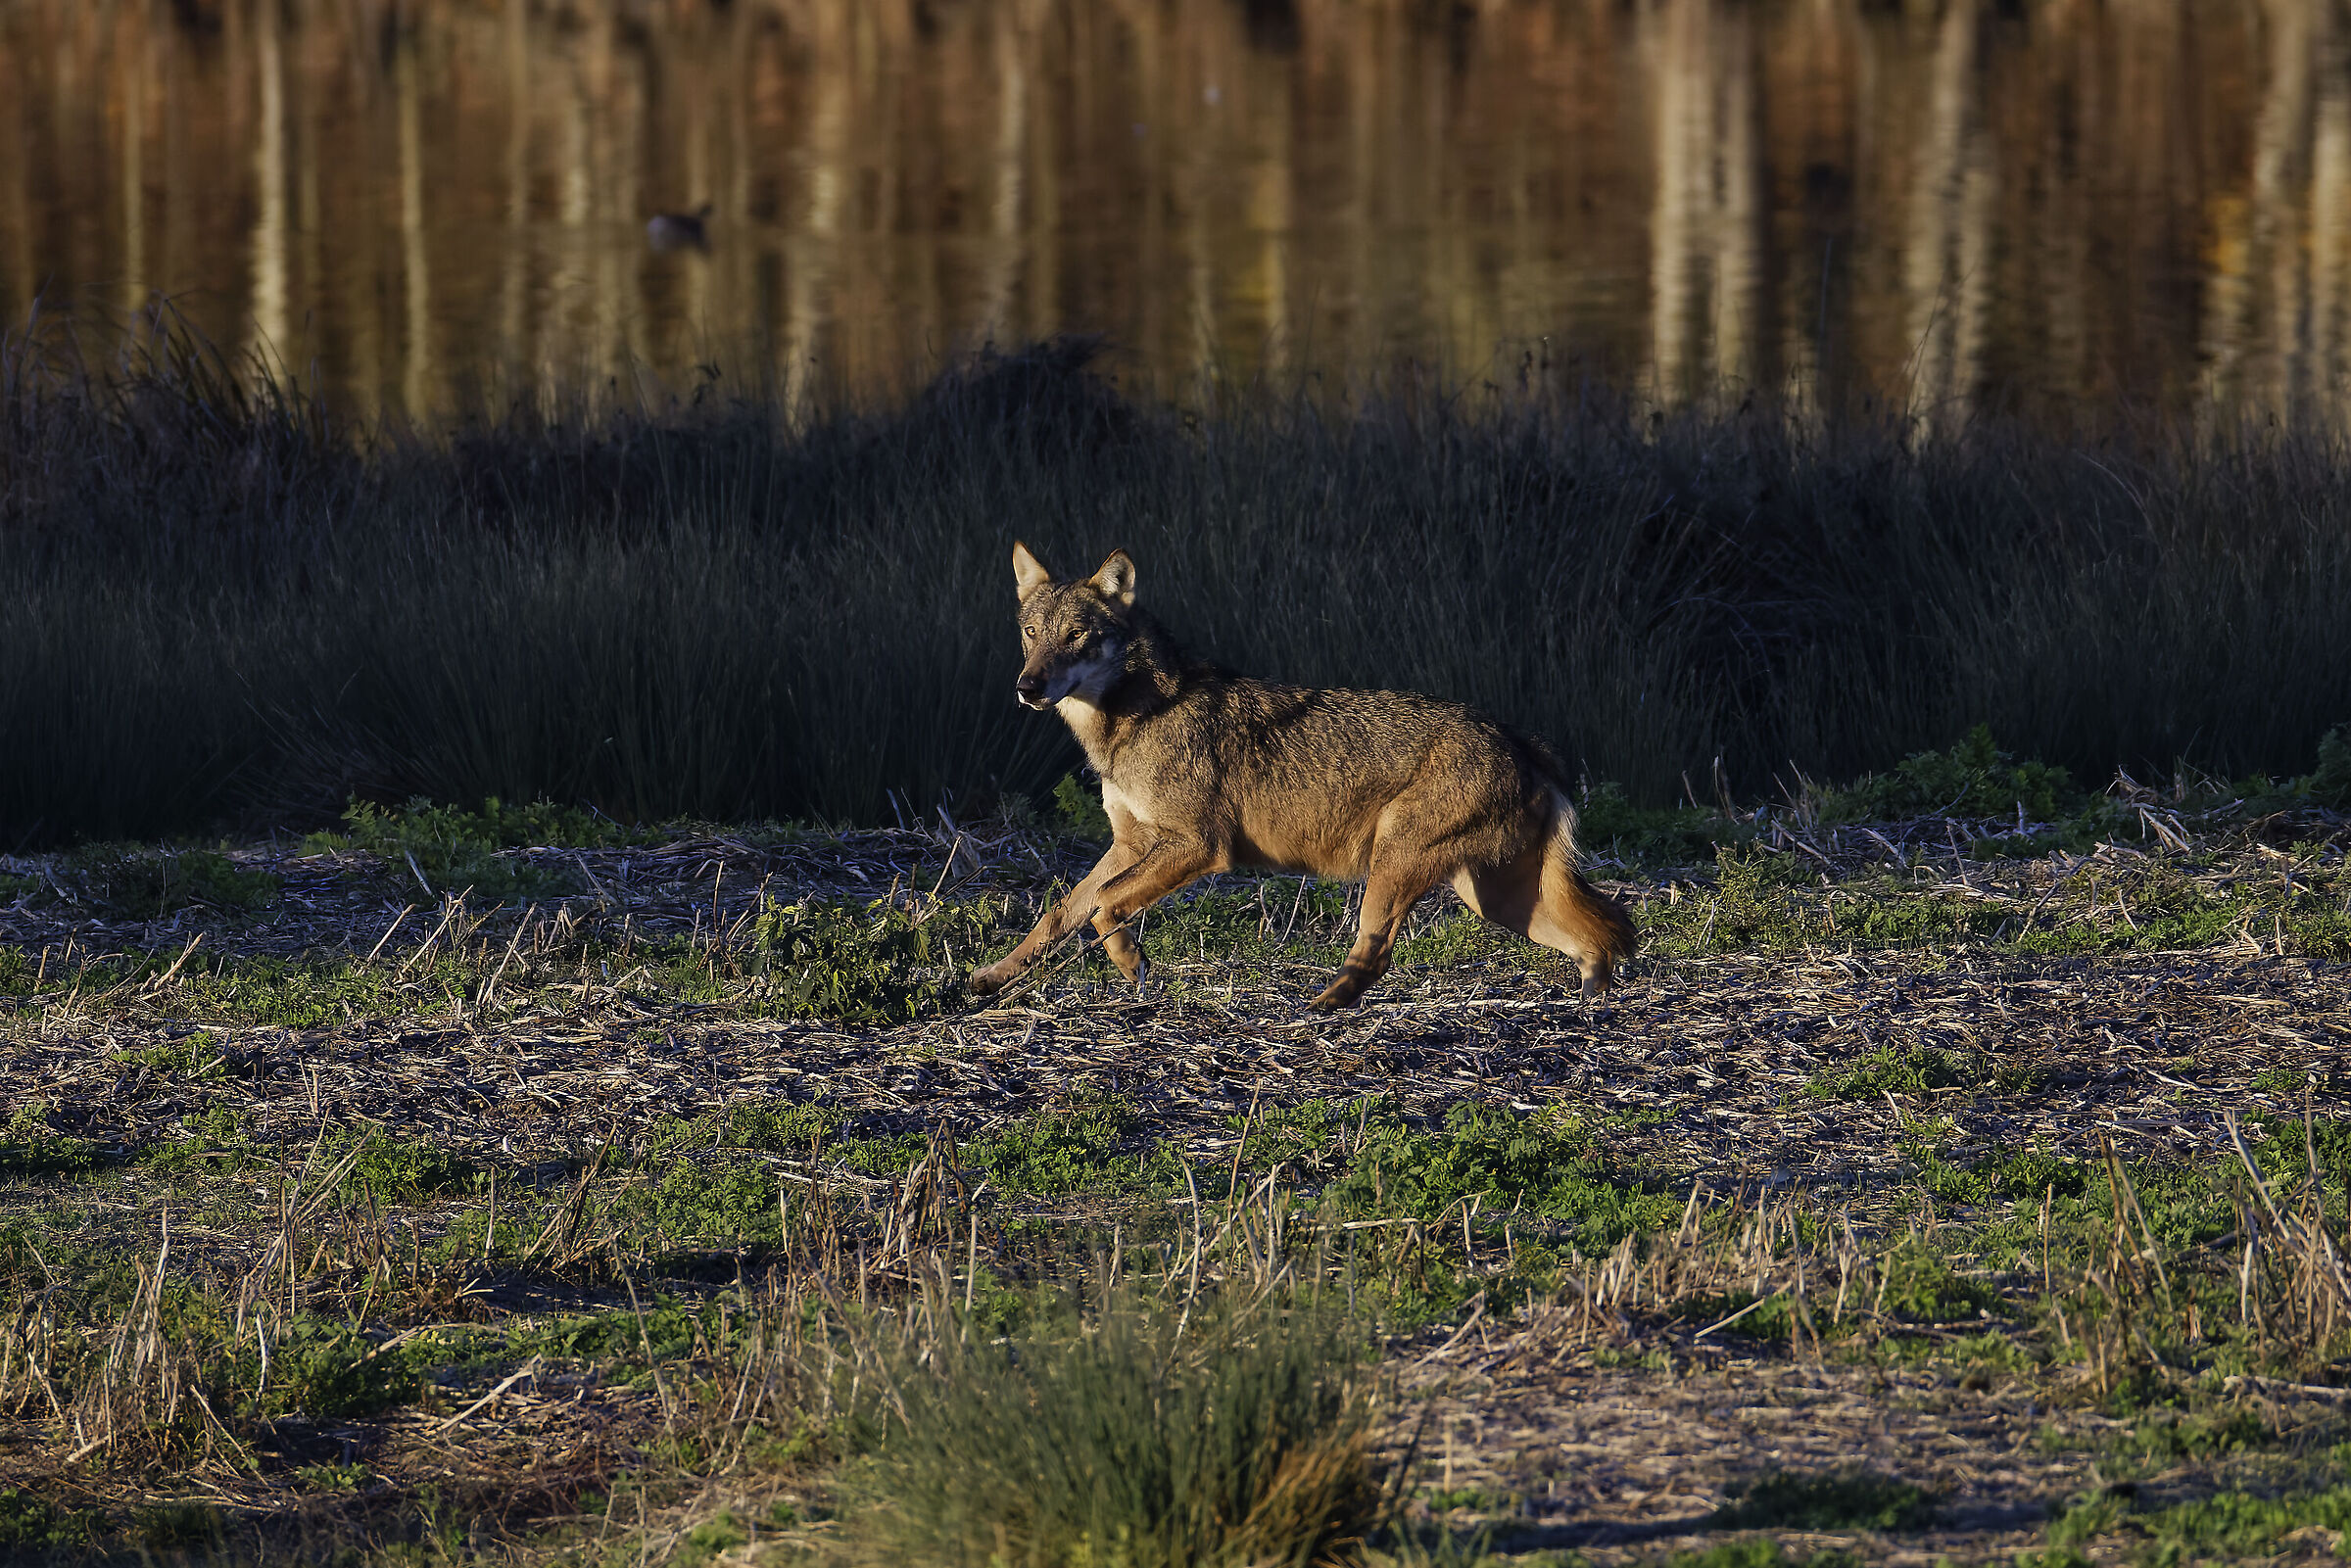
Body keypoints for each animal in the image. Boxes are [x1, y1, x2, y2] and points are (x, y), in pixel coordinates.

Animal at [965, 543, 1638, 1009]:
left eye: (1077, 635)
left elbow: (1105, 906)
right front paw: (993, 977)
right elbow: (1061, 912)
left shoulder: (1198, 847)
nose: (1028, 687)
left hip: (1397, 870)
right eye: (1031, 635)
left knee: (1375, 952)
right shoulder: (1129, 843)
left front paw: (1131, 963)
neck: (1137, 716)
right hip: (1496, 899)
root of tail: (1521, 741)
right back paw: (1592, 1008)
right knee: (1606, 933)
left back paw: (1315, 1010)